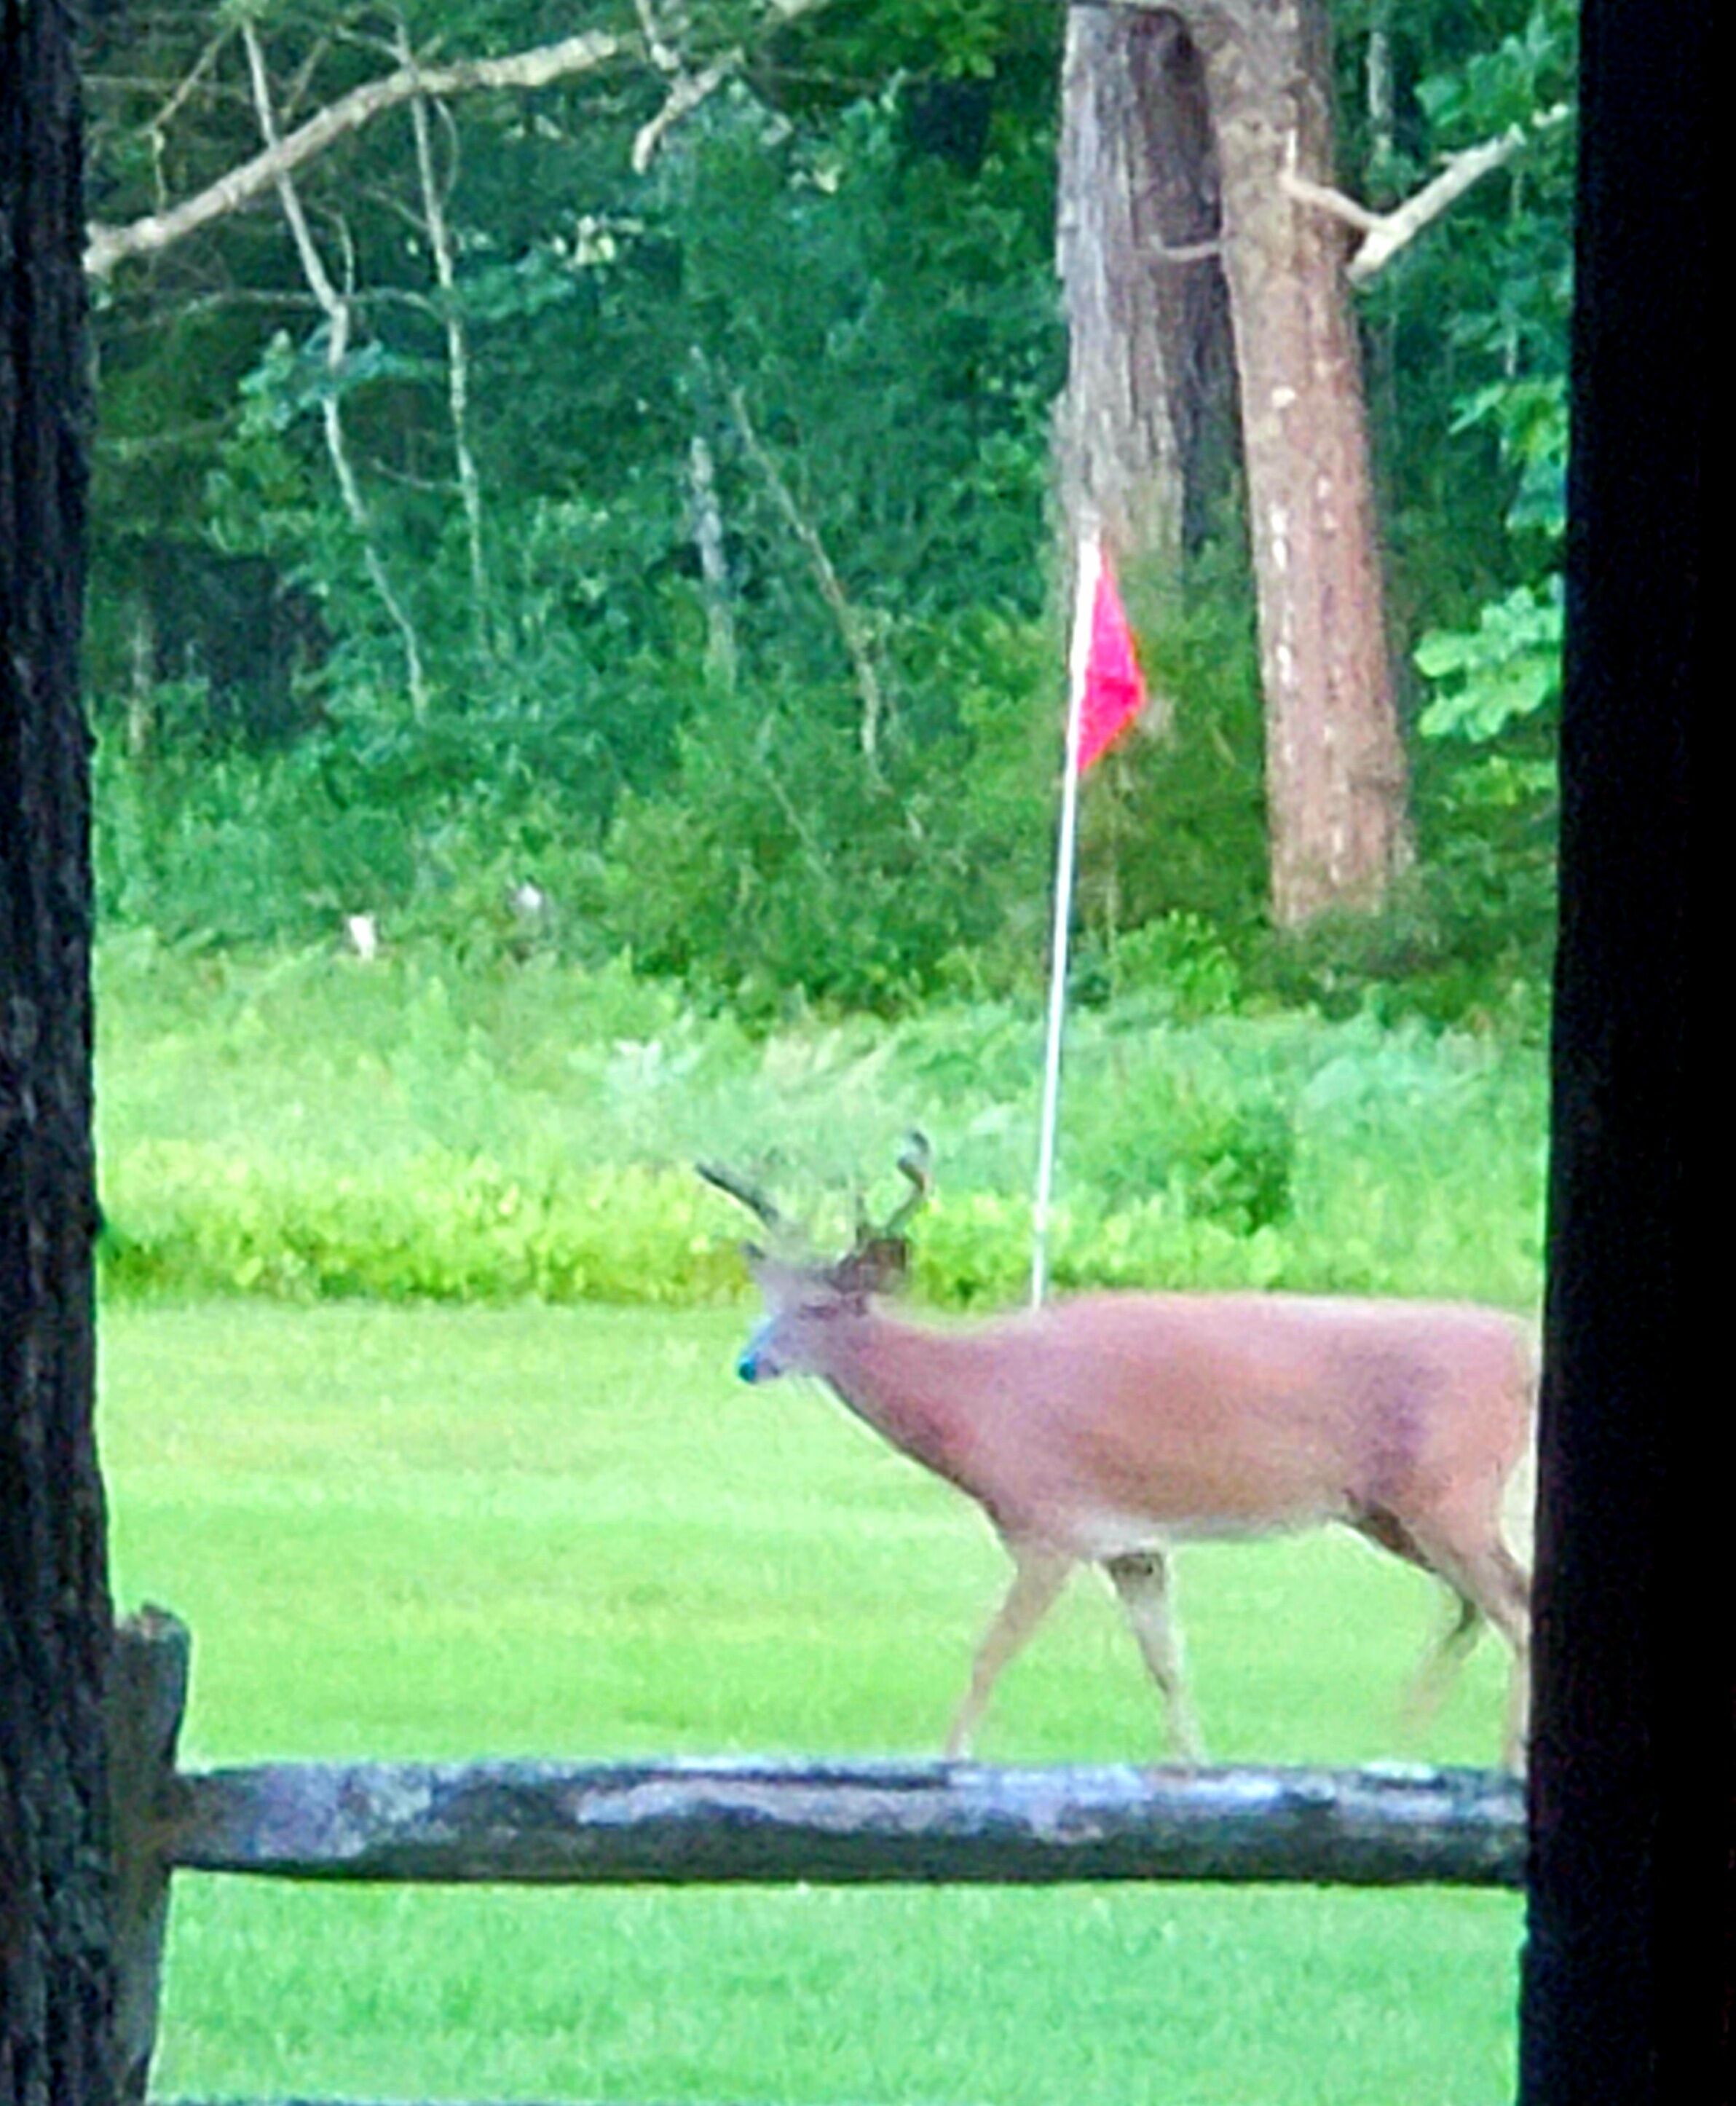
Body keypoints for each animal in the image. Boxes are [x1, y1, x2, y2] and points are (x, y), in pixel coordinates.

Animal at [698, 1137, 1535, 1774]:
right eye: (767, 1302)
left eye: (818, 1308)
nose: (749, 1364)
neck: (976, 1405)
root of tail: (1522, 1349)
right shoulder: (1131, 1546)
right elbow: (1166, 1663)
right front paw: (1193, 1767)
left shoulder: (1047, 1524)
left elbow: (989, 1652)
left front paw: (950, 1760)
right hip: (1389, 1511)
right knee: (1483, 1603)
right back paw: (1400, 1743)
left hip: (1448, 1490)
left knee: (1514, 1610)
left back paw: (1498, 1764)